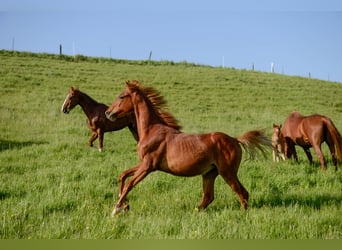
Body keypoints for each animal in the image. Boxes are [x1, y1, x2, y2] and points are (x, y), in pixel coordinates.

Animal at [105, 80, 272, 215]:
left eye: (121, 96)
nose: (108, 113)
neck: (151, 130)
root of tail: (235, 140)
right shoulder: (144, 164)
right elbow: (123, 176)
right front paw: (124, 206)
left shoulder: (148, 166)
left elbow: (129, 184)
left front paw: (116, 209)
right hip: (210, 173)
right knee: (209, 197)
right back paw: (196, 211)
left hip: (227, 172)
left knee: (242, 192)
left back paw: (242, 214)